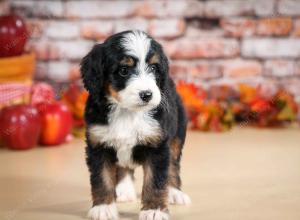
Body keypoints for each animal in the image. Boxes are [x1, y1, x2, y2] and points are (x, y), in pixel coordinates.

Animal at [81, 29, 191, 220]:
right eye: (124, 70)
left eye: (153, 68)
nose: (147, 94)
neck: (127, 112)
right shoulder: (98, 144)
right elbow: (101, 178)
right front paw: (103, 207)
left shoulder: (158, 145)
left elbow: (155, 181)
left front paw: (154, 210)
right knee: (125, 167)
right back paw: (124, 190)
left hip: (177, 134)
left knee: (173, 165)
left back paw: (175, 192)